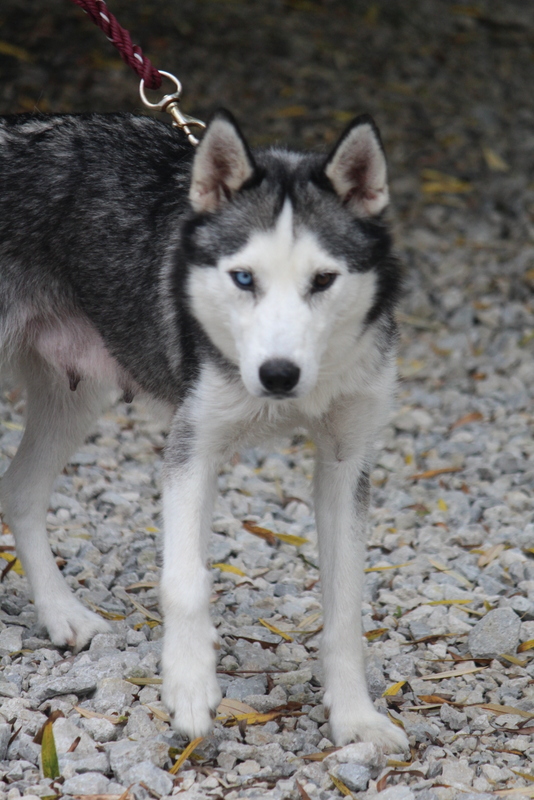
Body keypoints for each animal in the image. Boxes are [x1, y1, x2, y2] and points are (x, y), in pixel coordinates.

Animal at [0, 109, 408, 752]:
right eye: (243, 278)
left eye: (323, 280)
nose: (278, 374)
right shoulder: (193, 448)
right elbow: (185, 582)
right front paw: (189, 687)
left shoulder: (346, 463)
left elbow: (346, 606)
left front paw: (355, 718)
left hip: (77, 395)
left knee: (18, 492)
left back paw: (62, 613)